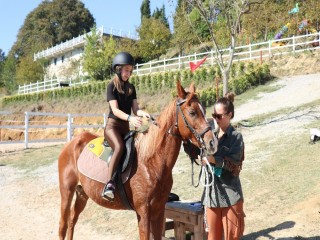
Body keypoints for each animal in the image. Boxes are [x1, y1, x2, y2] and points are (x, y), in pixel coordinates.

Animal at [58, 81, 218, 240]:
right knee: (63, 226)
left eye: (204, 110)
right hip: (66, 192)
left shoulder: (159, 210)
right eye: (192, 112)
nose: (212, 142)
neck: (150, 162)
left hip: (82, 193)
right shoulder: (143, 211)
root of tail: (73, 142)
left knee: (72, 220)